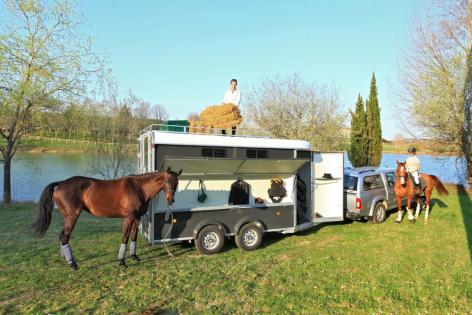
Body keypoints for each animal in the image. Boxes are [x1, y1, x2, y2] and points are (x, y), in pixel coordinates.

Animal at [31, 167, 182, 270]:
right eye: (166, 181)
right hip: (72, 216)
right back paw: (73, 264)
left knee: (62, 236)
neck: (138, 188)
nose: (171, 200)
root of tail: (61, 183)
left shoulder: (137, 218)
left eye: (177, 182)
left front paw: (134, 257)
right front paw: (121, 262)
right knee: (64, 236)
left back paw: (66, 258)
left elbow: (134, 236)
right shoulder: (129, 218)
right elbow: (125, 237)